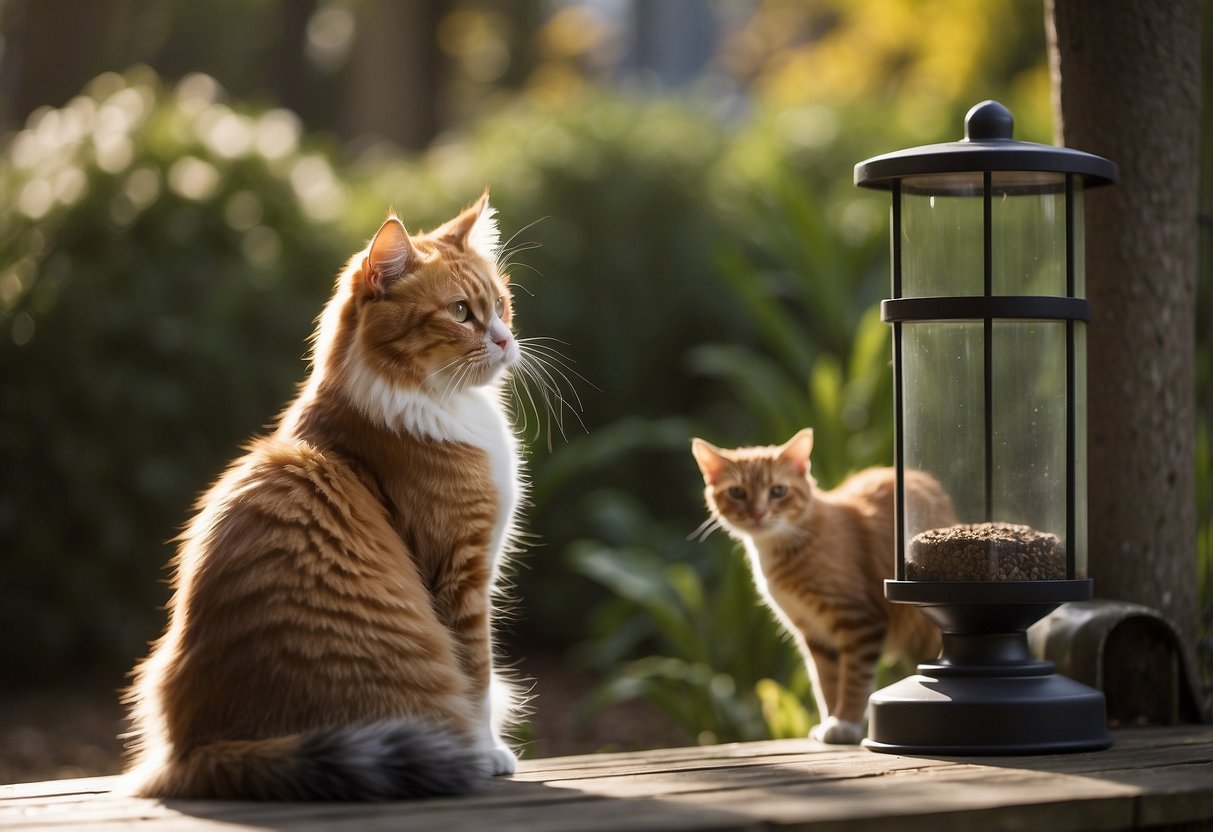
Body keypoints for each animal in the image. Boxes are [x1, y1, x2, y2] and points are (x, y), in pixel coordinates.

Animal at [120, 194, 524, 800]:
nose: (503, 339)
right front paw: (489, 753)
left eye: (500, 305)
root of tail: (206, 748)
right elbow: (476, 677)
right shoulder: (461, 570)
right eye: (459, 312)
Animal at [688, 429, 950, 742]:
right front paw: (829, 721)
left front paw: (845, 723)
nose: (758, 513)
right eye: (738, 492)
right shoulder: (814, 634)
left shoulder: (859, 620)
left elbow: (854, 679)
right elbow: (825, 683)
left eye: (778, 491)